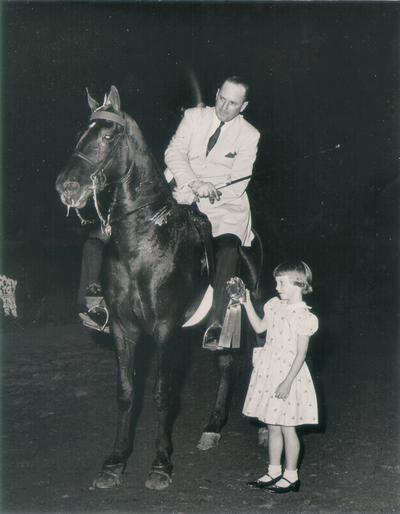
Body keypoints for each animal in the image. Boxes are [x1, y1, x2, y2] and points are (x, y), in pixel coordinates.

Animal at [57, 85, 262, 488]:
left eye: (108, 136)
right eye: (80, 134)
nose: (67, 187)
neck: (143, 242)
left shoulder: (166, 330)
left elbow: (162, 394)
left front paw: (161, 464)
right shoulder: (124, 329)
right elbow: (126, 392)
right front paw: (115, 462)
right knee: (226, 365)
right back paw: (213, 427)